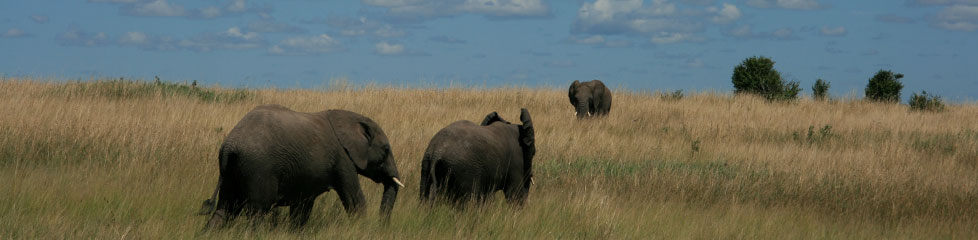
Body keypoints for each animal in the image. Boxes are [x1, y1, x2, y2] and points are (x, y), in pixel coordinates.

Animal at [200, 105, 402, 229]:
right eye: (385, 150)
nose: (382, 225)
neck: (351, 119)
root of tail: (229, 146)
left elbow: (303, 206)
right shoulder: (343, 159)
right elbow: (354, 199)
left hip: (232, 170)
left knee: (225, 209)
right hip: (257, 168)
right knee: (257, 210)